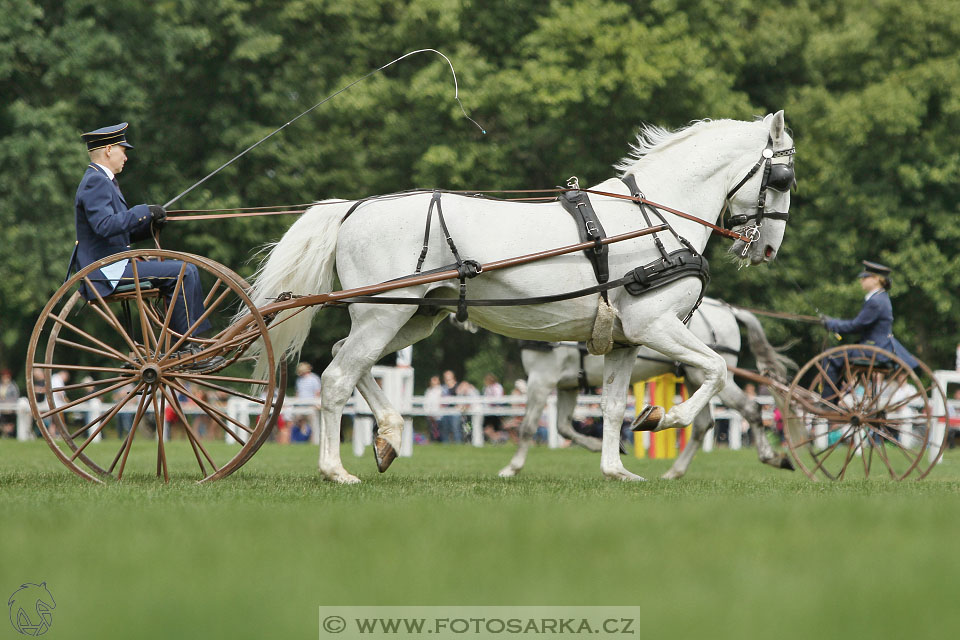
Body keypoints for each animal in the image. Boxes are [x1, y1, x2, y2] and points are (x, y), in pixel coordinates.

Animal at [502, 298, 796, 478]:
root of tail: (728, 310)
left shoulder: (542, 378)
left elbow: (527, 427)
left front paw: (512, 468)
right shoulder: (568, 385)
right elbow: (563, 426)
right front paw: (603, 446)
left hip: (709, 373)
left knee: (750, 409)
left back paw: (771, 456)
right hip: (693, 378)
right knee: (703, 424)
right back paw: (674, 472)